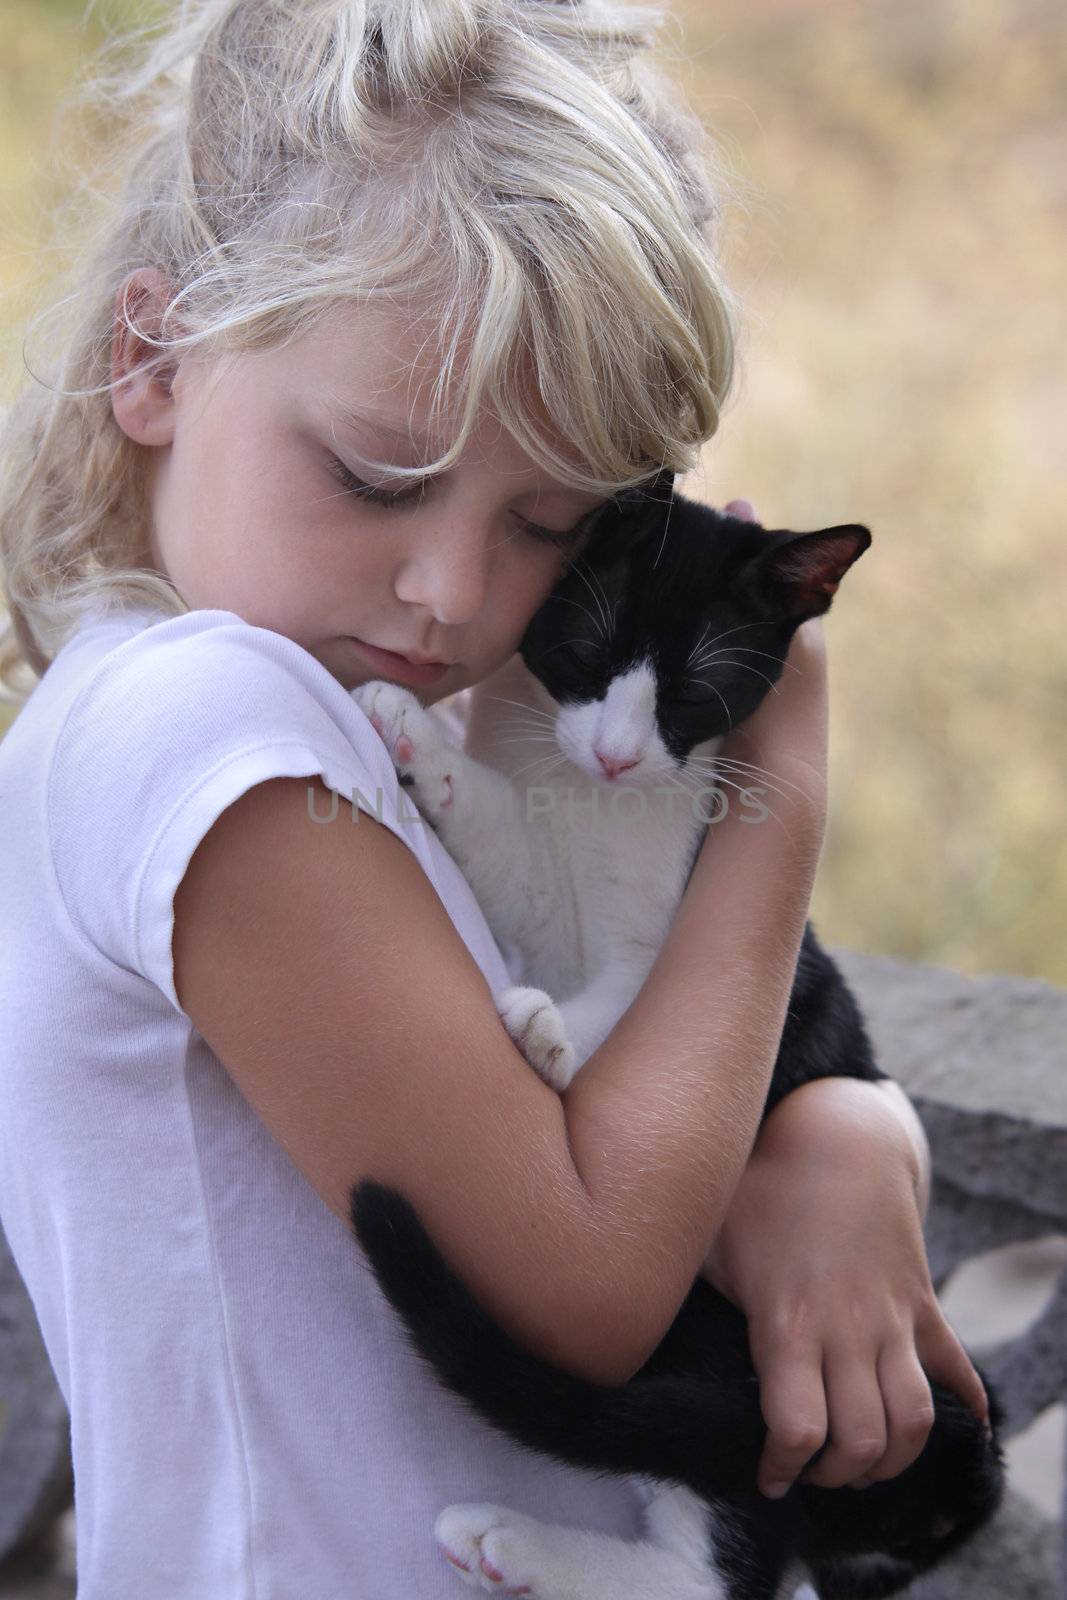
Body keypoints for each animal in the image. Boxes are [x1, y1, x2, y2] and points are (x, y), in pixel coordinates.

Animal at [351, 483, 1011, 1600]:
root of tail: (966, 1451)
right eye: (586, 645)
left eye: (697, 692)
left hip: (711, 1342)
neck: (594, 805)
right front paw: (415, 740)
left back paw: (509, 1540)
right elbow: (502, 839)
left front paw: (543, 1034)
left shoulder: (683, 947)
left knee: (714, 1564)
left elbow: (633, 1006)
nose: (618, 755)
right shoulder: (537, 872)